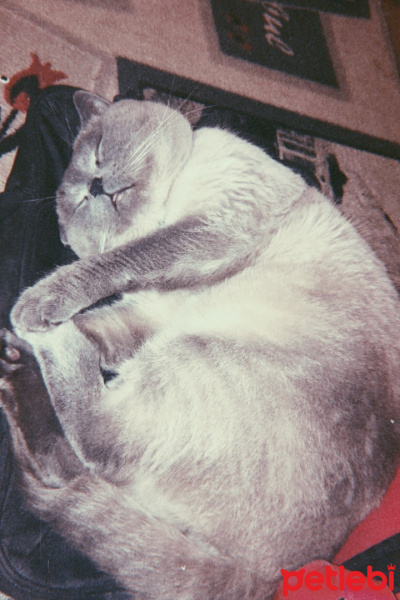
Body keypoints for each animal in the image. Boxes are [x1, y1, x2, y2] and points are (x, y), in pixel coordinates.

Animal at [0, 90, 400, 600]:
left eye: (99, 152)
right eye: (76, 198)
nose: (96, 184)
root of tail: (273, 575)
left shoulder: (210, 231)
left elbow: (122, 260)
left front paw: (38, 305)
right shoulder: (149, 314)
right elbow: (102, 317)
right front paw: (41, 321)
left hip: (194, 356)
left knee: (96, 444)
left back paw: (34, 333)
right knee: (72, 463)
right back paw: (16, 361)